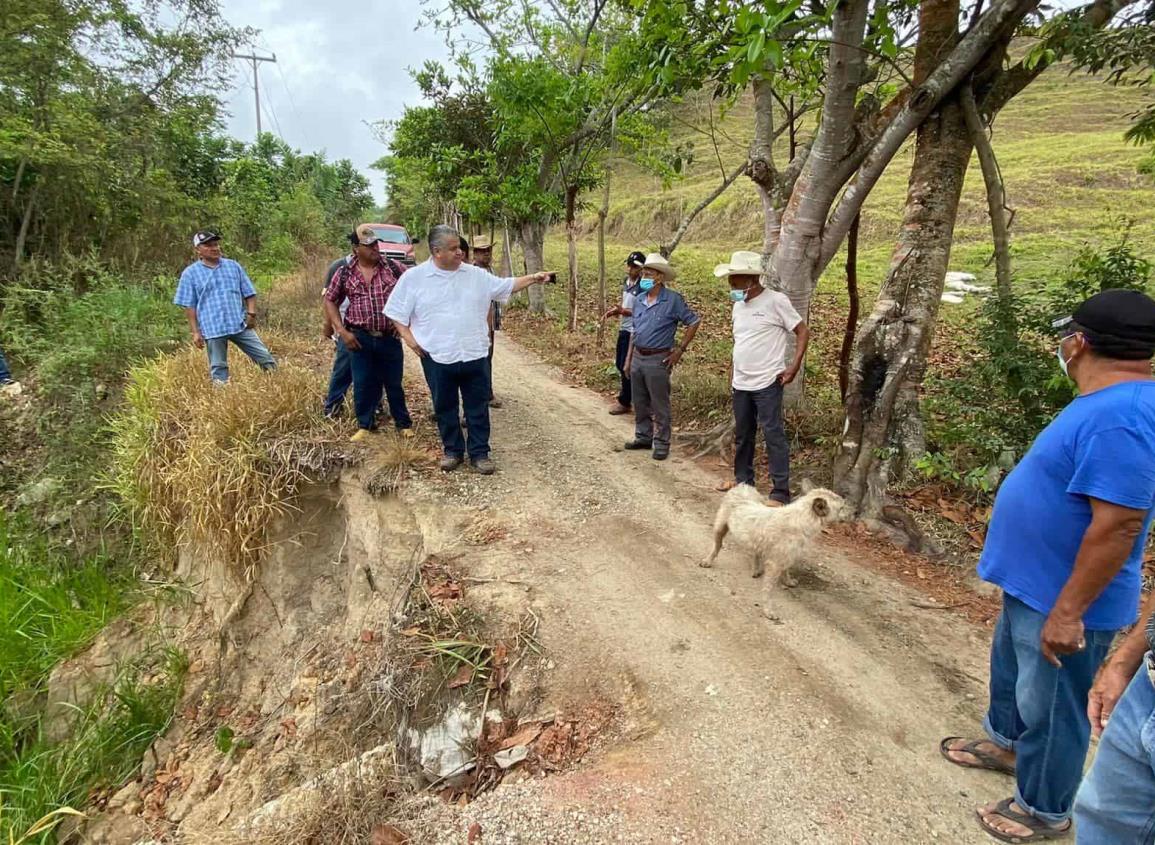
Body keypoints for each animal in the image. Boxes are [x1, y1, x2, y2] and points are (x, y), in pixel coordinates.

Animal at [697, 482, 845, 586]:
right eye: (841, 508)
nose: (850, 511)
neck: (803, 517)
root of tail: (743, 486)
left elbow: (785, 569)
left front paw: (787, 581)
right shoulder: (783, 554)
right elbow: (784, 570)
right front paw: (786, 581)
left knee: (755, 552)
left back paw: (755, 569)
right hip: (720, 527)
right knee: (717, 546)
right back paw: (708, 560)